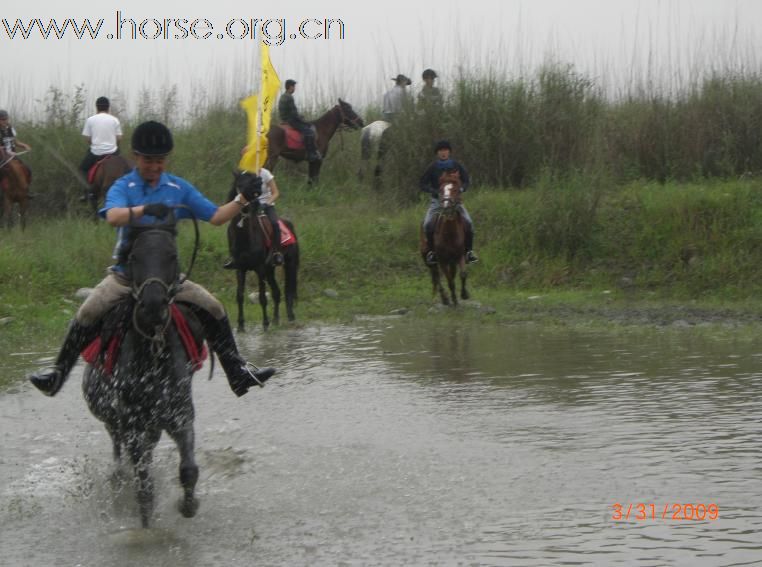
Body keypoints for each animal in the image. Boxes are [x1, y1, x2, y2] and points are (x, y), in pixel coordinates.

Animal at [226, 173, 296, 332]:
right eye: (239, 185)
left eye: (256, 188)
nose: (246, 207)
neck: (245, 238)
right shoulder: (240, 269)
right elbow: (239, 296)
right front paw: (240, 325)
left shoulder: (260, 268)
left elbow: (263, 298)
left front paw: (265, 324)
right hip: (270, 270)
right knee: (276, 293)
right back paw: (275, 320)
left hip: (289, 264)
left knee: (288, 292)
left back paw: (289, 318)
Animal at [422, 173, 470, 306]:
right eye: (441, 189)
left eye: (456, 189)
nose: (447, 207)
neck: (449, 233)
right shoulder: (442, 260)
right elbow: (449, 280)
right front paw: (453, 299)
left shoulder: (459, 256)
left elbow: (462, 274)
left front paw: (463, 295)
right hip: (428, 259)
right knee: (436, 276)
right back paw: (445, 298)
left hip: (451, 261)